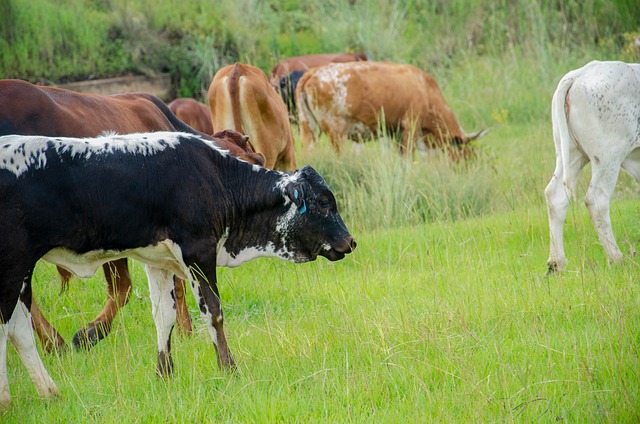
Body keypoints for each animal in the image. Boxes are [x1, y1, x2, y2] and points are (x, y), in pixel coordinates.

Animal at [0, 131, 356, 406]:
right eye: (324, 202)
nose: (350, 241)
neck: (213, 176)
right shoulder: (198, 250)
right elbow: (213, 312)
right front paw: (229, 369)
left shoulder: (157, 261)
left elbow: (164, 315)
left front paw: (164, 374)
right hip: (12, 267)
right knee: (7, 328)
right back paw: (9, 399)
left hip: (22, 274)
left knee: (20, 331)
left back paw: (49, 392)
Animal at [544, 59, 640, 274]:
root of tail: (580, 73)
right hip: (608, 158)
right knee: (596, 200)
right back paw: (616, 258)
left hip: (569, 154)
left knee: (555, 196)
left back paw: (556, 263)